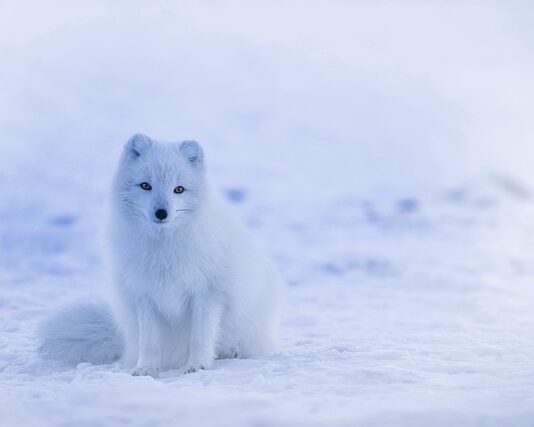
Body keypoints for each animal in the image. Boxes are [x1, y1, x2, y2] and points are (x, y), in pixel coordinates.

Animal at [39, 135, 282, 378]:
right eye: (146, 185)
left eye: (179, 189)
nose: (161, 213)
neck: (163, 248)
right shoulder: (145, 295)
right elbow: (150, 342)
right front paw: (145, 369)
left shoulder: (207, 293)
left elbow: (201, 336)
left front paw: (198, 365)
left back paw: (229, 352)